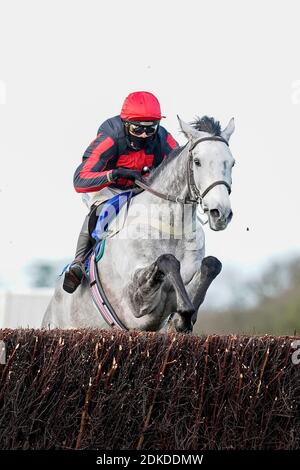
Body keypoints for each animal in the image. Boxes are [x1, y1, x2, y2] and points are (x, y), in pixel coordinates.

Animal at [42, 115, 234, 332]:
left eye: (232, 163)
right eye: (197, 161)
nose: (221, 213)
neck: (172, 229)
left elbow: (211, 264)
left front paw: (182, 319)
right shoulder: (135, 302)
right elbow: (167, 260)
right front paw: (184, 312)